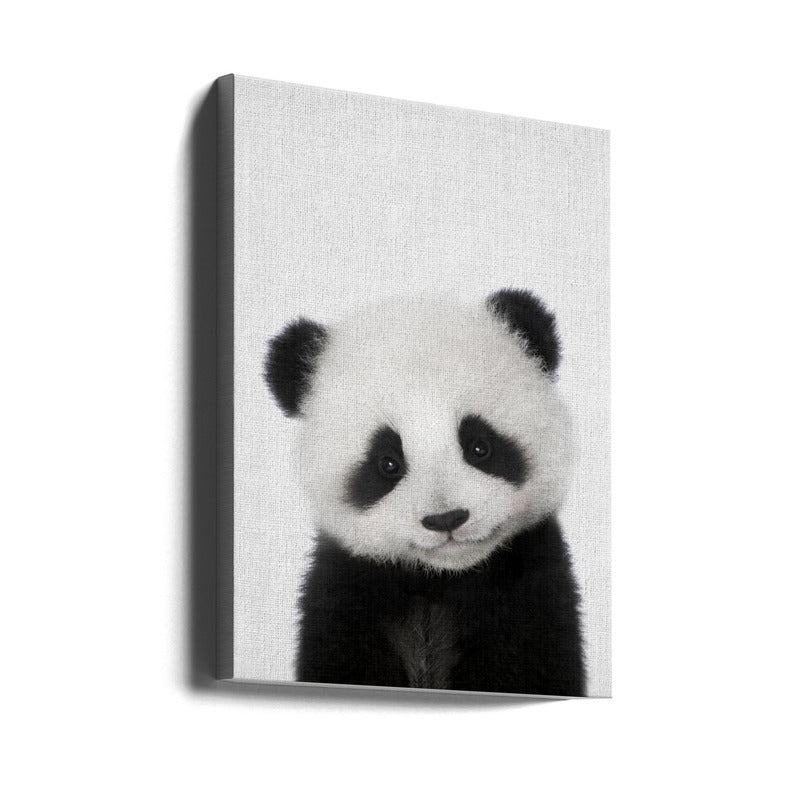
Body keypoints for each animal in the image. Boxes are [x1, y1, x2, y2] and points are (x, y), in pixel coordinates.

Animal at [263, 288, 585, 696]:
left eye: (480, 446)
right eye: (387, 462)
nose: (446, 519)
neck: (440, 579)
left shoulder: (530, 588)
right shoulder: (346, 594)